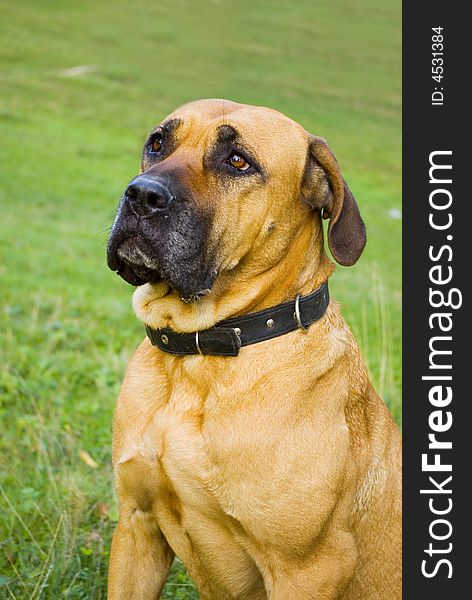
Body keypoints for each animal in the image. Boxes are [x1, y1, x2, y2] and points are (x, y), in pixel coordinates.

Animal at [105, 101, 400, 596]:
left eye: (238, 161)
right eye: (158, 143)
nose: (141, 195)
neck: (197, 361)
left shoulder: (309, 568)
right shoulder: (136, 525)